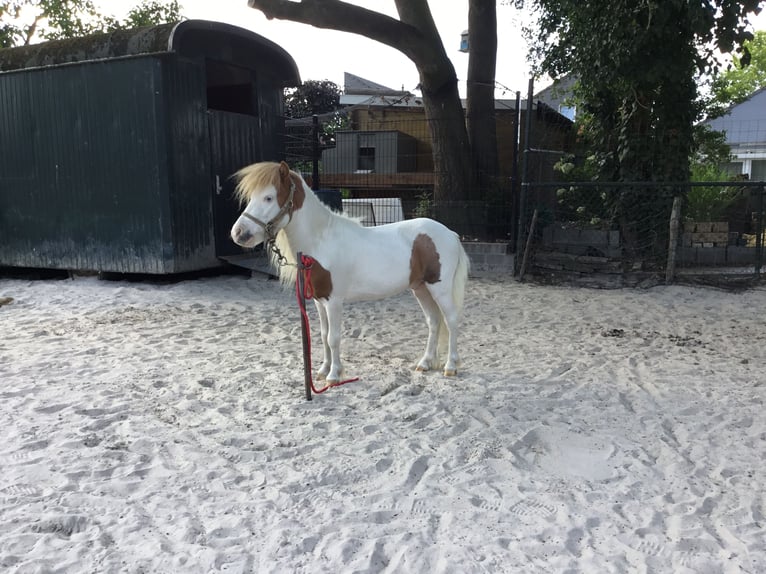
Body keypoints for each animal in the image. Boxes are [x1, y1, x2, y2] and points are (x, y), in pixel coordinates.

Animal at [230, 161, 469, 384]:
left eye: (269, 198)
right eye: (251, 197)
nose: (239, 233)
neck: (321, 241)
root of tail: (450, 234)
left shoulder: (334, 301)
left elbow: (334, 337)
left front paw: (334, 375)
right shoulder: (319, 301)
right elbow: (323, 335)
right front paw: (323, 370)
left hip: (439, 288)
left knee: (451, 319)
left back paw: (450, 366)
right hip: (420, 288)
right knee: (434, 321)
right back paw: (425, 363)